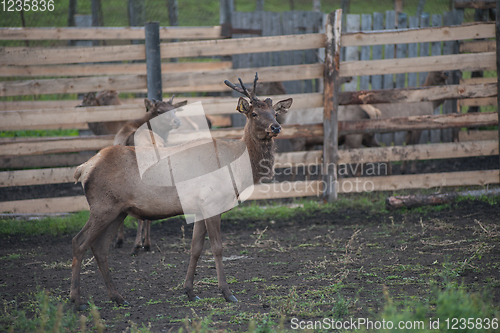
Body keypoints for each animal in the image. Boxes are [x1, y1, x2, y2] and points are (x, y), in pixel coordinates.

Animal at [113, 96, 188, 254]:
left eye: (174, 109)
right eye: (159, 111)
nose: (177, 121)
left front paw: (120, 240)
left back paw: (137, 245)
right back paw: (146, 243)